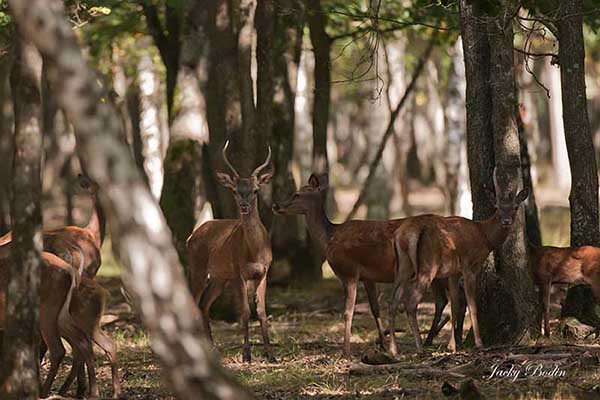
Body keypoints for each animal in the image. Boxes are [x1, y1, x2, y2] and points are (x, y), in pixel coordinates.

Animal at [274, 173, 468, 354]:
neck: (329, 237)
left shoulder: (350, 272)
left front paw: (346, 350)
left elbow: (348, 311)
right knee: (448, 299)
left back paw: (444, 341)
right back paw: (442, 340)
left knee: (452, 298)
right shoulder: (368, 276)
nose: (276, 206)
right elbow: (375, 308)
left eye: (296, 194)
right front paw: (382, 344)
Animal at [386, 173, 528, 354]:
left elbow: (455, 305)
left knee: (393, 302)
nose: (506, 221)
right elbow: (472, 305)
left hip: (403, 266)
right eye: (497, 207)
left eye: (515, 207)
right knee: (410, 302)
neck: (484, 236)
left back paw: (394, 350)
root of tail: (406, 234)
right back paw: (420, 347)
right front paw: (478, 343)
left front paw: (453, 345)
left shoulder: (453, 272)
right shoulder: (469, 266)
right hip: (428, 266)